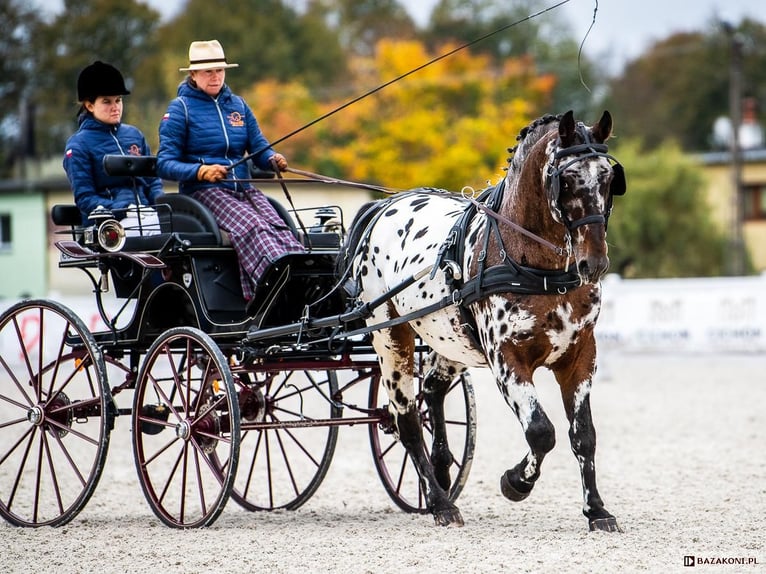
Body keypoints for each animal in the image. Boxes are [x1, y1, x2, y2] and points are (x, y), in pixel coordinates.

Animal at [338, 110, 626, 531]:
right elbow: (541, 432)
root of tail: (384, 207)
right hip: (391, 336)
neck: (537, 268)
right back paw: (440, 503)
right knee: (406, 418)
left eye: (608, 179)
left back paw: (441, 474)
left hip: (450, 339)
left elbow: (583, 436)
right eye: (568, 178)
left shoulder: (579, 356)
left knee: (432, 390)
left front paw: (598, 510)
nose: (595, 262)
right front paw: (516, 482)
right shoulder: (507, 360)